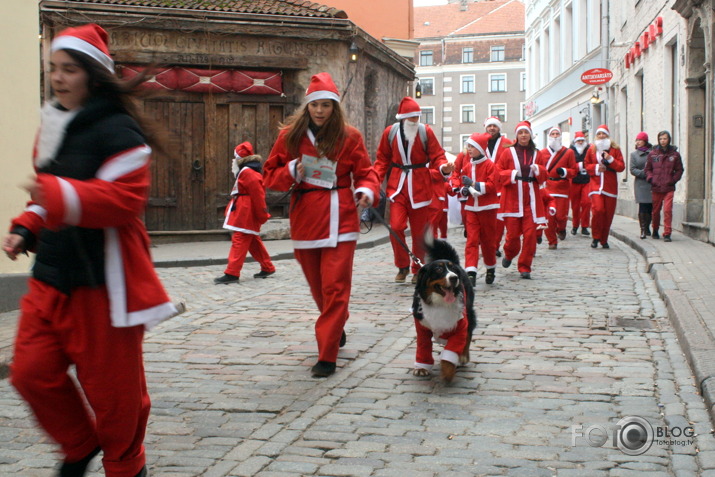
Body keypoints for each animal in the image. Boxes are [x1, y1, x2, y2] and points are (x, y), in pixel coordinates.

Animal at [412, 232, 478, 382]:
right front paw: (422, 367)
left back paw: (463, 356)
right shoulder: (422, 327)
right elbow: (423, 347)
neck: (440, 303)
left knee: (469, 334)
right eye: (439, 269)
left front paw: (447, 372)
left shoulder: (460, 324)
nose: (454, 277)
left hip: (469, 312)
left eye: (453, 270)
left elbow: (453, 350)